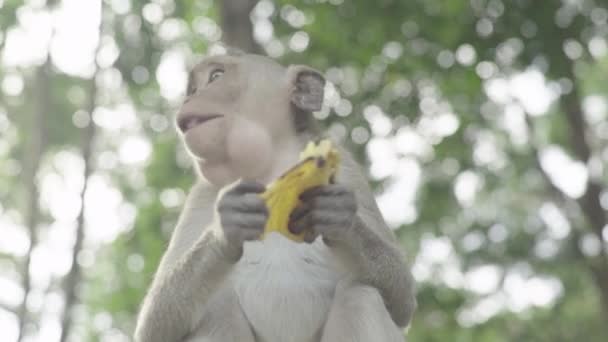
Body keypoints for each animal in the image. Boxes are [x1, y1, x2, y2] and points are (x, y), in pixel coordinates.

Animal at [135, 50, 416, 342]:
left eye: (215, 76)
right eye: (193, 88)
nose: (189, 98)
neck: (270, 171)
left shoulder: (348, 173)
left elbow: (402, 299)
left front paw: (340, 219)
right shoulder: (202, 196)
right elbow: (155, 326)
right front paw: (226, 228)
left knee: (362, 295)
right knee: (216, 309)